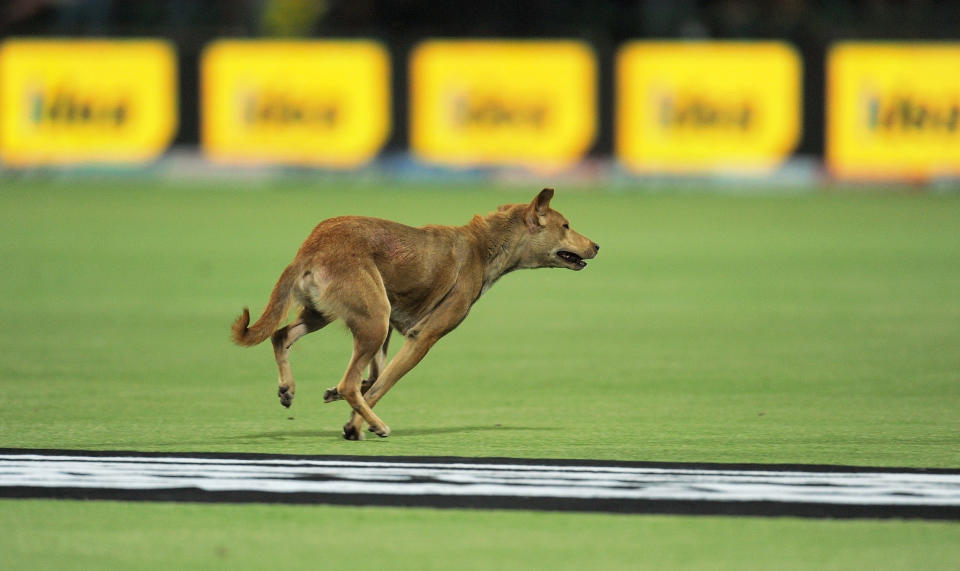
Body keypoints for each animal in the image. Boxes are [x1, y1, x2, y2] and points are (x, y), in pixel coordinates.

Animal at [230, 190, 596, 440]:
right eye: (566, 226)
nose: (596, 246)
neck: (482, 247)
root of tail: (312, 245)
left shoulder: (391, 329)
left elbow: (373, 377)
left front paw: (339, 402)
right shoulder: (422, 337)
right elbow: (380, 384)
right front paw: (355, 426)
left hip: (333, 315)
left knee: (281, 336)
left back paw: (288, 389)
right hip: (373, 318)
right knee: (348, 381)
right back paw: (376, 424)